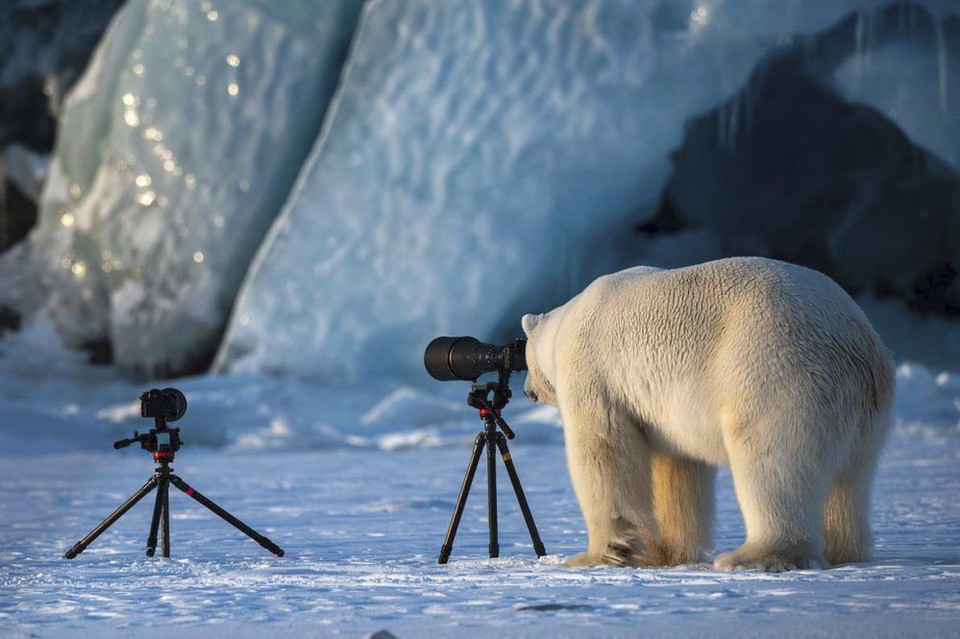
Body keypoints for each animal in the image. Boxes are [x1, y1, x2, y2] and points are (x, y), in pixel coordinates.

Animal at [520, 258, 896, 572]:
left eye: (524, 360)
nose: (527, 391)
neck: (566, 322)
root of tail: (855, 341)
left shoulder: (594, 373)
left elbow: (603, 452)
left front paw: (599, 555)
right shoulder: (664, 412)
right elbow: (678, 469)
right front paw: (670, 553)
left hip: (776, 371)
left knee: (772, 464)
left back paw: (752, 556)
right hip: (865, 411)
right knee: (851, 480)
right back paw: (845, 551)